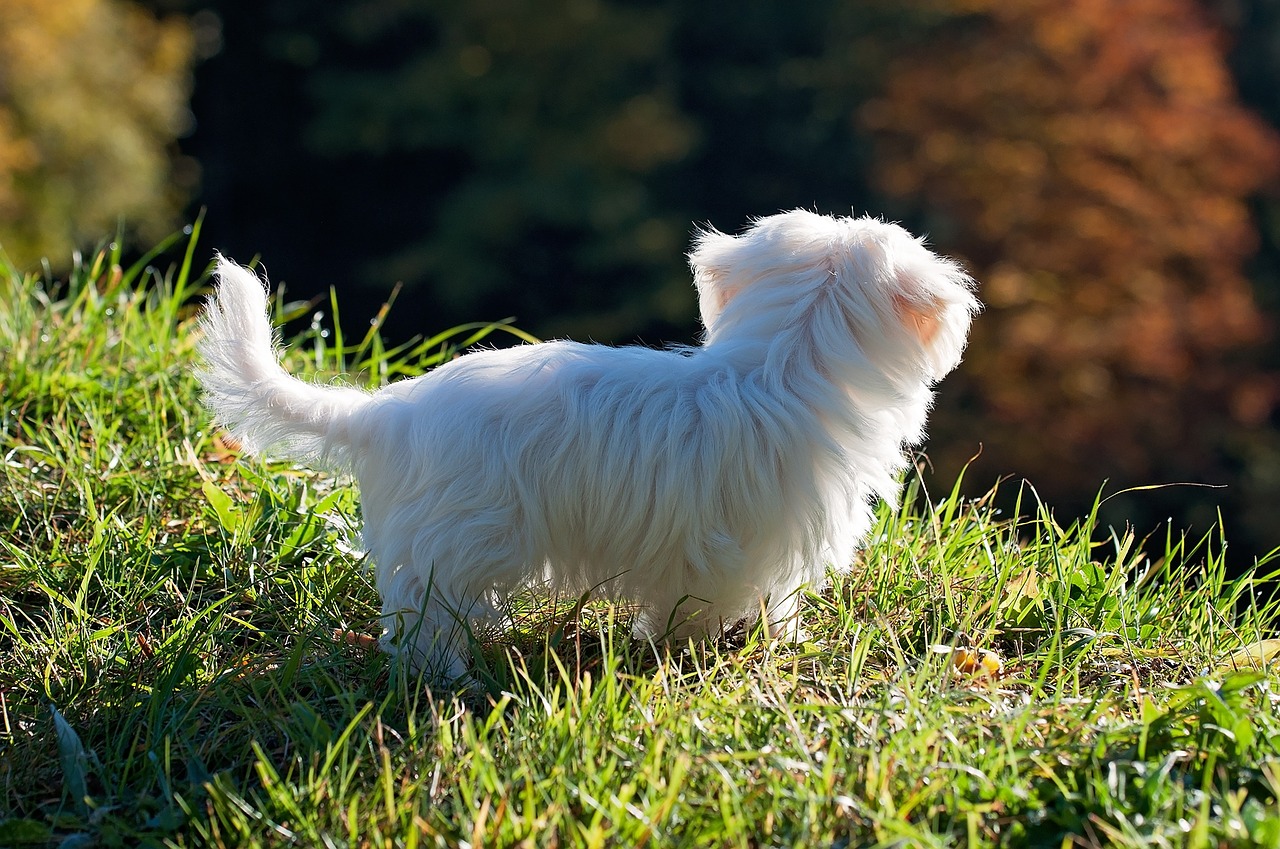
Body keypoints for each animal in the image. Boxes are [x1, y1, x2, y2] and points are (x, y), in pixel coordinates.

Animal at [197, 211, 977, 676]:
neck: (780, 364)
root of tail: (391, 412)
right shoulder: (746, 546)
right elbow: (730, 604)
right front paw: (740, 647)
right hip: (455, 544)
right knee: (424, 617)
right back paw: (448, 676)